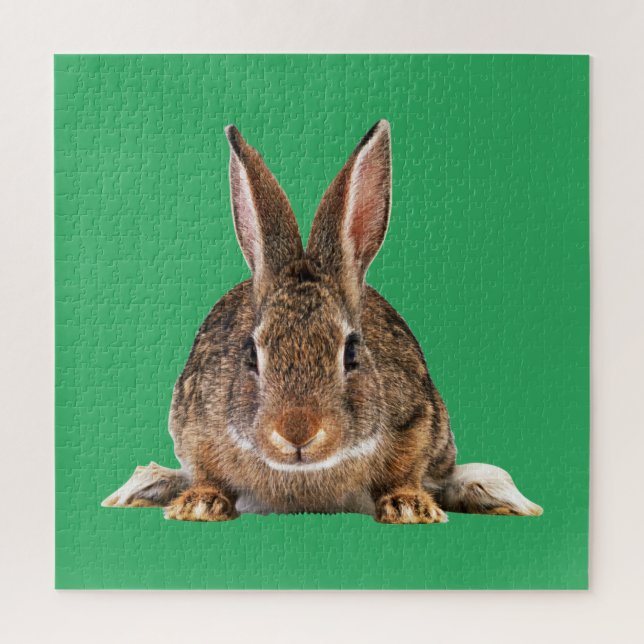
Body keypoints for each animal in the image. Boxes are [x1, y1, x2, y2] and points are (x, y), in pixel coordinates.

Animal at [103, 120, 543, 523]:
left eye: (351, 353)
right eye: (251, 354)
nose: (297, 432)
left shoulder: (418, 421)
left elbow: (406, 472)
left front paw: (409, 507)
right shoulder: (196, 424)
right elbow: (206, 470)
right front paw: (199, 504)